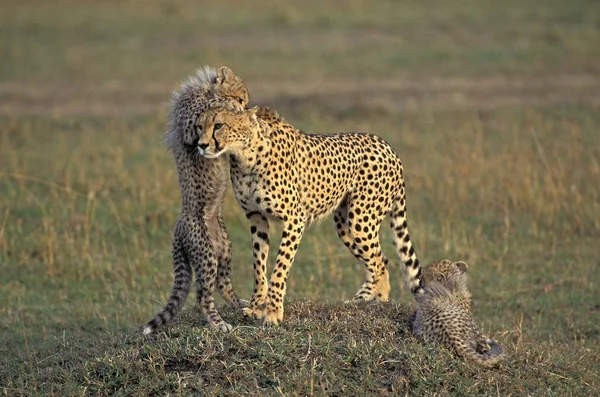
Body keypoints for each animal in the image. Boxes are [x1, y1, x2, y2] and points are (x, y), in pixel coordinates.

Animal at [143, 65, 248, 334]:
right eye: (241, 97)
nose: (244, 106)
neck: (205, 91)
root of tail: (178, 230)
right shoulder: (190, 128)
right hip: (206, 253)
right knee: (203, 296)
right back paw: (219, 324)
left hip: (224, 249)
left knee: (222, 284)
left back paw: (242, 305)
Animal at [195, 104, 424, 324]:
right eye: (199, 126)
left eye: (219, 125)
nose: (201, 145)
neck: (245, 155)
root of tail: (386, 146)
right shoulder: (256, 217)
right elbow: (259, 266)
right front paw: (255, 307)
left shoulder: (294, 219)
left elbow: (280, 267)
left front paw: (273, 312)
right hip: (344, 223)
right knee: (381, 259)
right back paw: (363, 300)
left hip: (361, 219)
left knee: (378, 262)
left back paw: (376, 302)